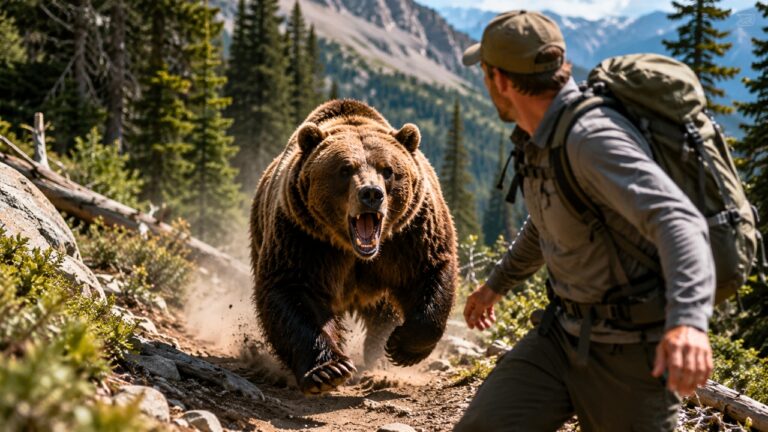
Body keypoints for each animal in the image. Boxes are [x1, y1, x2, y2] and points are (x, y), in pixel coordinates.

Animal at [250, 99, 458, 395]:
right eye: (345, 169)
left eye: (388, 170)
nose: (371, 193)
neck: (355, 251)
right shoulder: (303, 237)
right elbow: (292, 291)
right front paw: (328, 370)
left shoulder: (410, 235)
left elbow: (431, 271)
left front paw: (402, 346)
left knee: (383, 314)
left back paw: (379, 357)